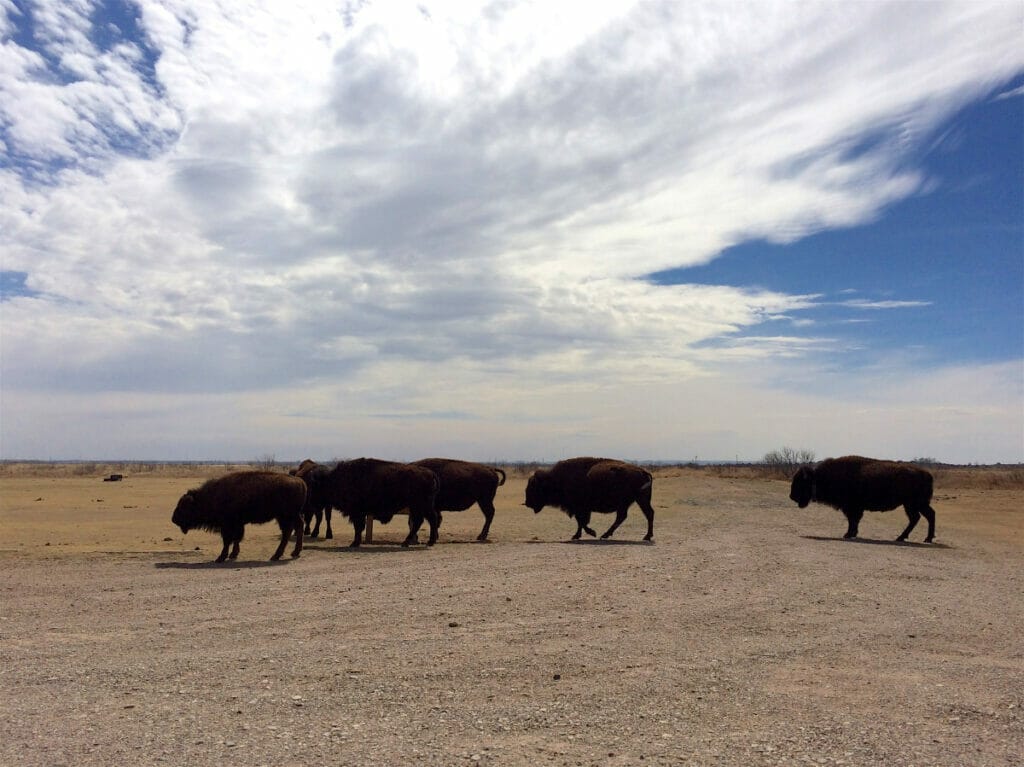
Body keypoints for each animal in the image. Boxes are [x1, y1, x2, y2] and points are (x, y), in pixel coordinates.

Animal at [171, 466, 303, 561]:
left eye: (184, 506)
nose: (174, 519)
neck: (210, 497)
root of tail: (300, 482)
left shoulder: (228, 525)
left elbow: (228, 540)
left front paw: (221, 557)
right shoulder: (237, 524)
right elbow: (236, 539)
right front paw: (233, 555)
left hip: (286, 516)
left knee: (288, 532)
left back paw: (277, 556)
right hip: (288, 516)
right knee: (294, 529)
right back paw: (293, 553)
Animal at [299, 458, 436, 548]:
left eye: (315, 487)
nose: (310, 502)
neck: (334, 479)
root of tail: (431, 474)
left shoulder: (357, 513)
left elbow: (358, 527)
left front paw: (354, 543)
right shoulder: (358, 513)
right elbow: (359, 527)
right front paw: (356, 542)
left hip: (420, 506)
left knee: (428, 520)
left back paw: (416, 542)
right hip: (418, 507)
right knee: (424, 521)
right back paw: (419, 542)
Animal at [786, 458, 937, 540]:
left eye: (801, 482)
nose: (792, 496)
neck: (819, 477)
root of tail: (927, 474)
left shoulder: (851, 507)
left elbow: (852, 520)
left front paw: (848, 534)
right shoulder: (853, 508)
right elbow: (854, 520)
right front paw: (852, 533)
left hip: (914, 504)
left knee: (923, 516)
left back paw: (919, 538)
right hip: (912, 505)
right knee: (921, 517)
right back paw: (908, 538)